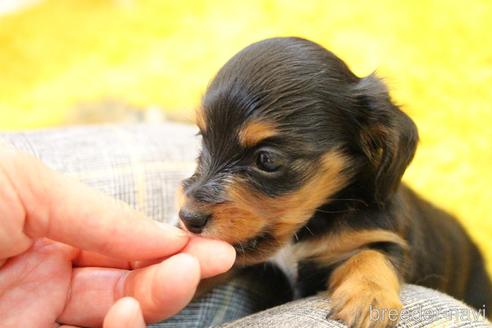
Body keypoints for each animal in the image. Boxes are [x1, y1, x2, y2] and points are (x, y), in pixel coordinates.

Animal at [178, 37, 492, 326]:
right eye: (203, 139)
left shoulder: (387, 237)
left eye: (266, 159)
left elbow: (372, 254)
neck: (306, 228)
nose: (188, 218)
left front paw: (368, 298)